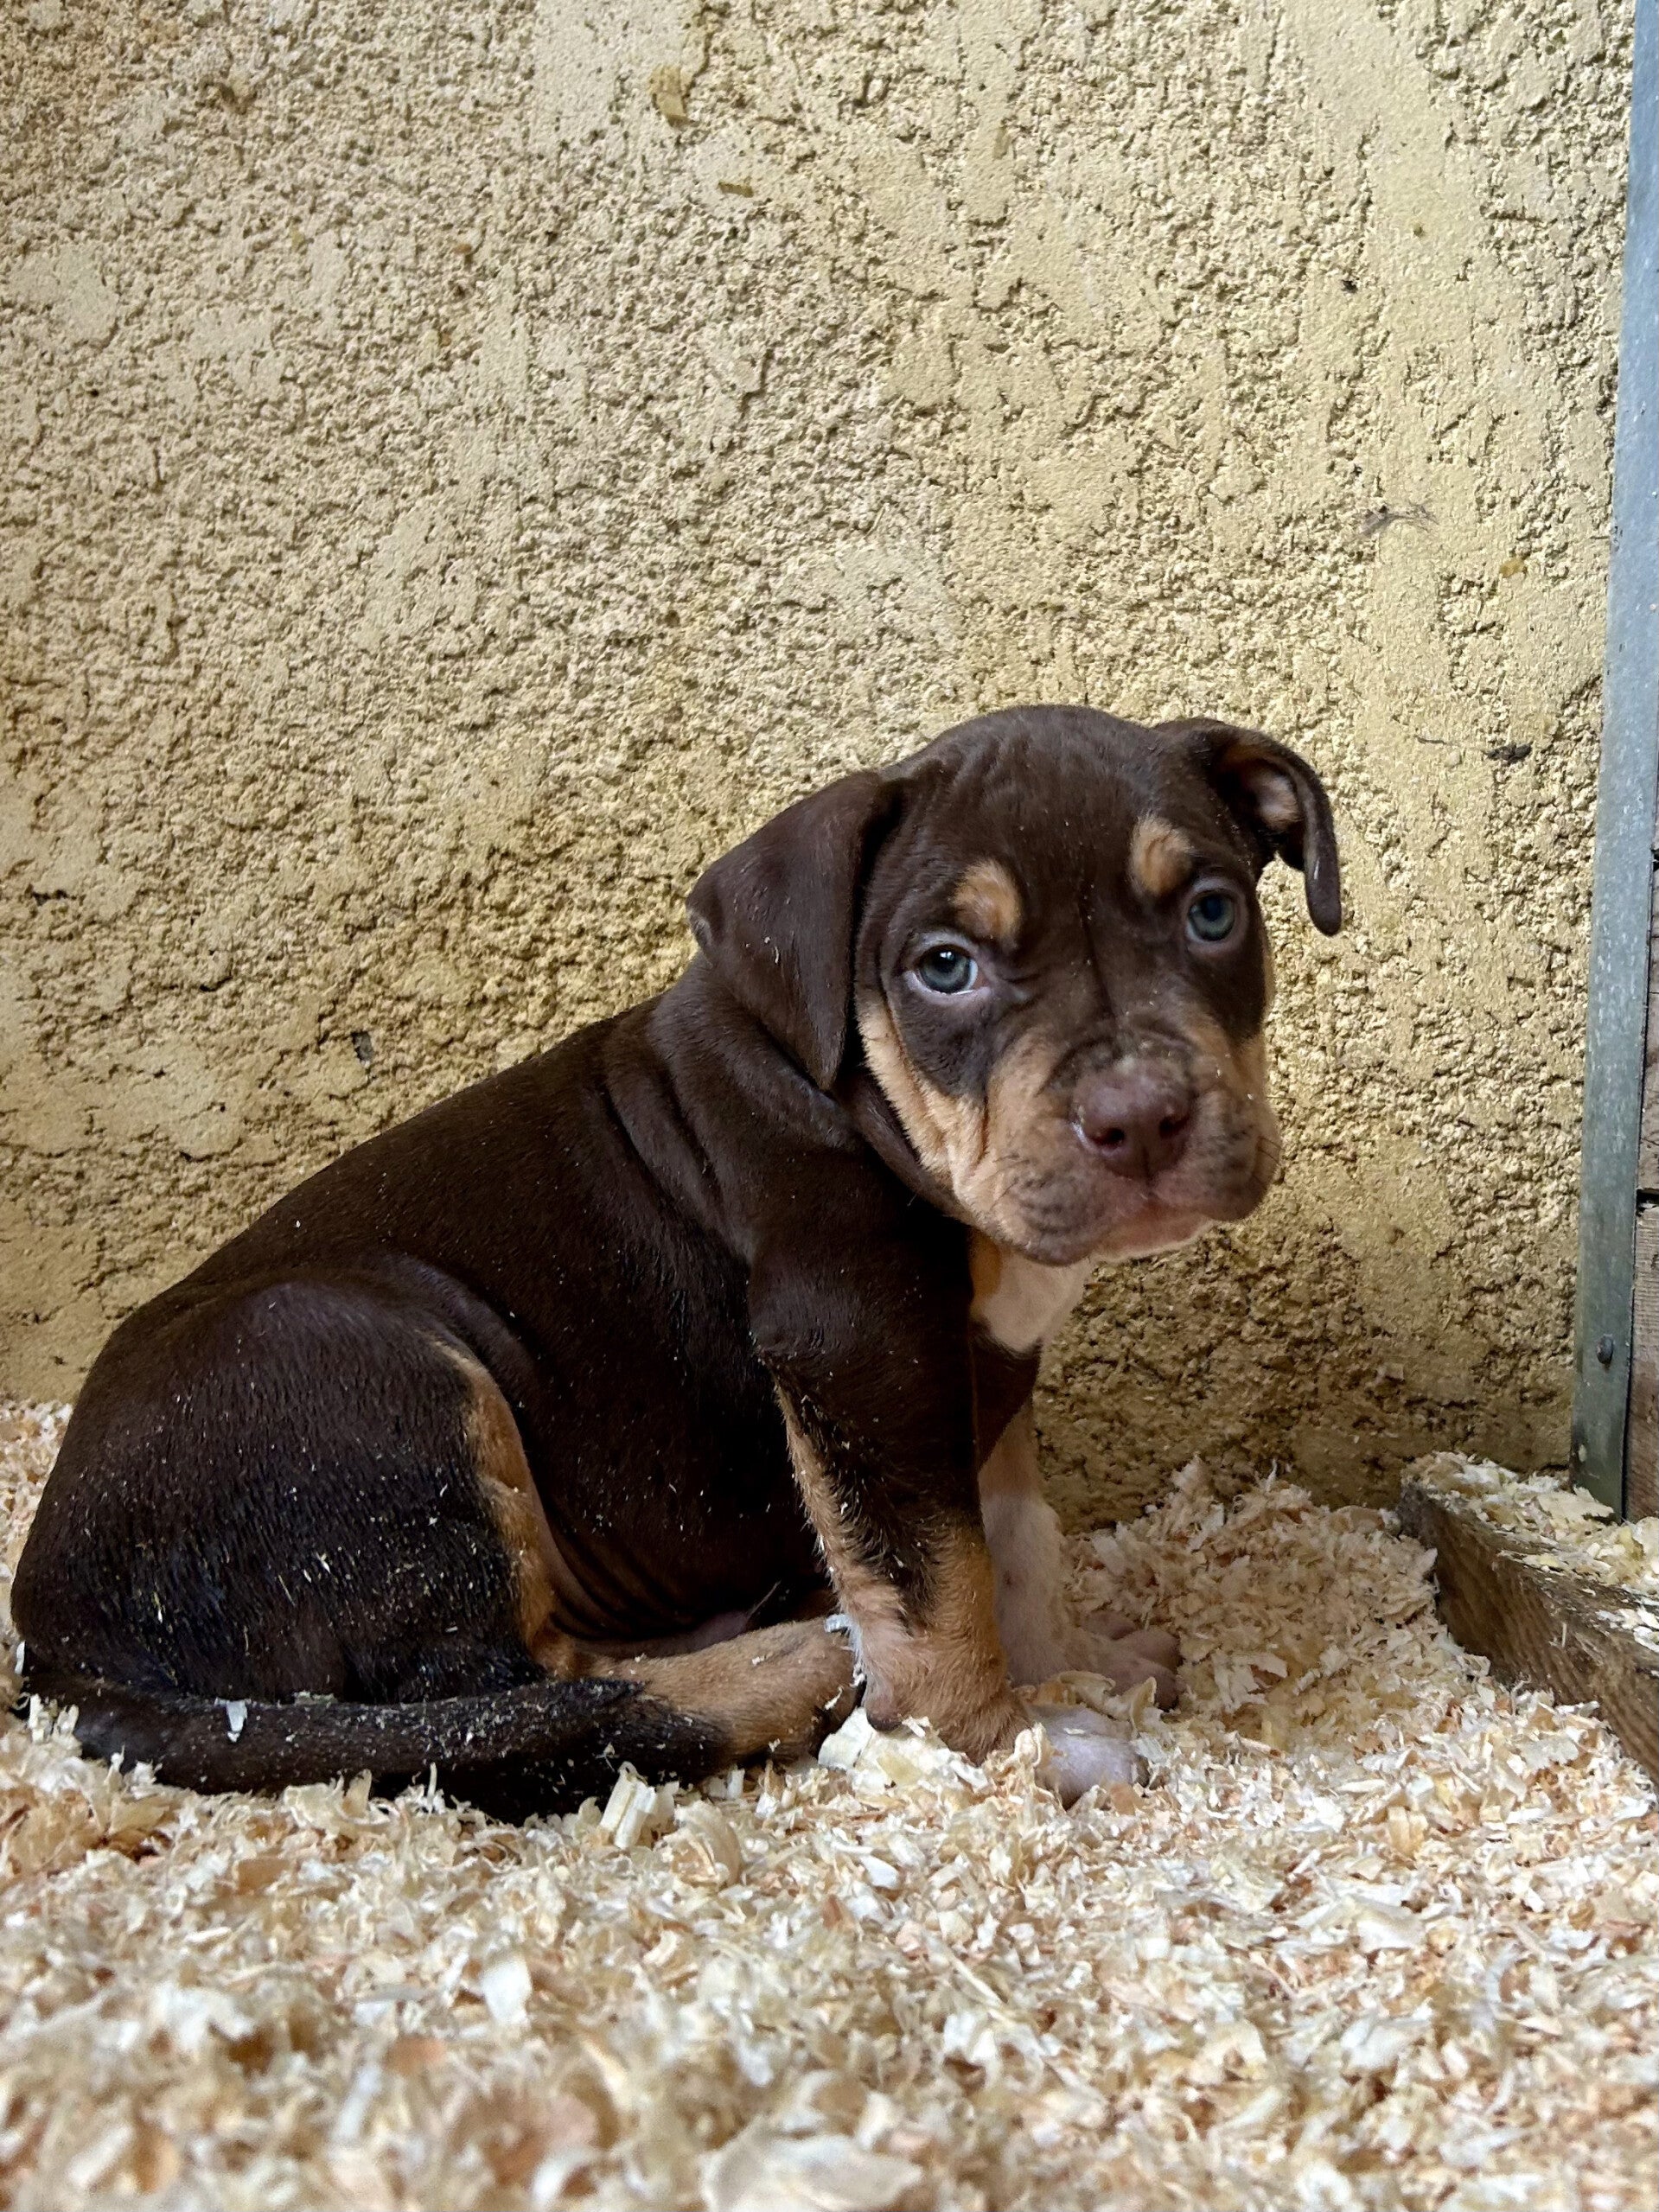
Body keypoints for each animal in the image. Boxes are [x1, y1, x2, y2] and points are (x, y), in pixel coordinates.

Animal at [12, 706, 1339, 1818]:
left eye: (1211, 913)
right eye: (943, 966)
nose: (1140, 1116)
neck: (861, 1097)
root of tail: (55, 1637)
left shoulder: (977, 1371)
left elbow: (1014, 1535)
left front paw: (1072, 1664)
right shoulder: (858, 1346)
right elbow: (933, 1585)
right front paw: (1004, 1745)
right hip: (365, 1373)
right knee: (489, 1695)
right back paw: (778, 1663)